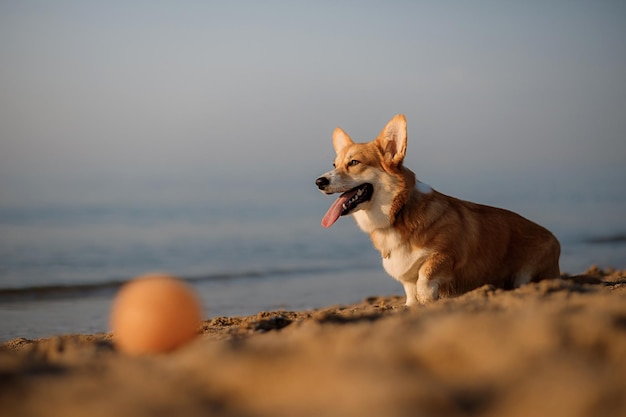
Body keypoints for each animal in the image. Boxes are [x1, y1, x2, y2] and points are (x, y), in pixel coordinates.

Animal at [314, 114, 560, 306]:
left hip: (528, 273)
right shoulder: (406, 278)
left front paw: (429, 297)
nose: (319, 182)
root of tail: (555, 240)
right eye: (334, 164)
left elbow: (425, 275)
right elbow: (411, 292)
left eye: (354, 163)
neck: (400, 211)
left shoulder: (448, 254)